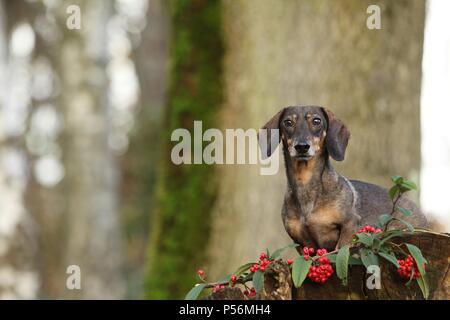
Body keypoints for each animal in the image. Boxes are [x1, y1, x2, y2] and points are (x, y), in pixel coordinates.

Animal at [258, 106, 428, 251]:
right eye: (287, 122)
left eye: (316, 121)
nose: (301, 146)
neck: (306, 185)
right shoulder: (301, 243)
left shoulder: (350, 225)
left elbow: (340, 247)